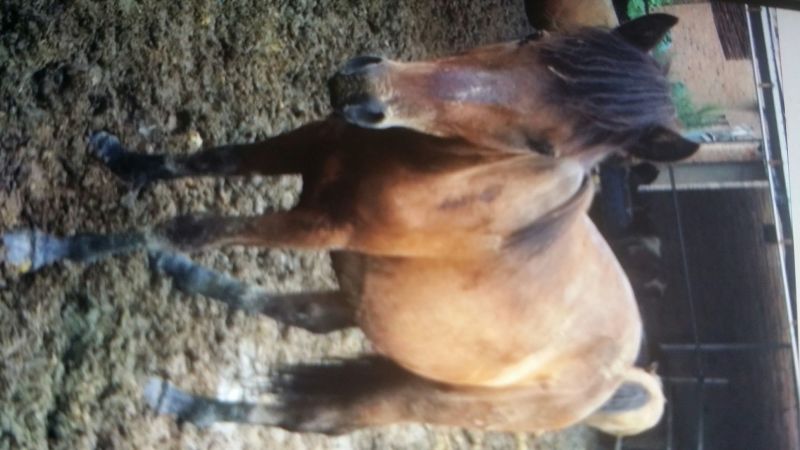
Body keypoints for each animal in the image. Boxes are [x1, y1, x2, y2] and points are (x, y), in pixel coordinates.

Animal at [2, 13, 698, 437]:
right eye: (534, 41)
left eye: (543, 146)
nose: (363, 87)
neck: (433, 169)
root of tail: (620, 378)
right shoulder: (309, 147)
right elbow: (206, 160)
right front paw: (120, 159)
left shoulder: (319, 226)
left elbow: (185, 226)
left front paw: (40, 246)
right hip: (370, 299)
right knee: (304, 314)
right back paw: (182, 289)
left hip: (413, 392)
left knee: (316, 417)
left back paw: (185, 402)